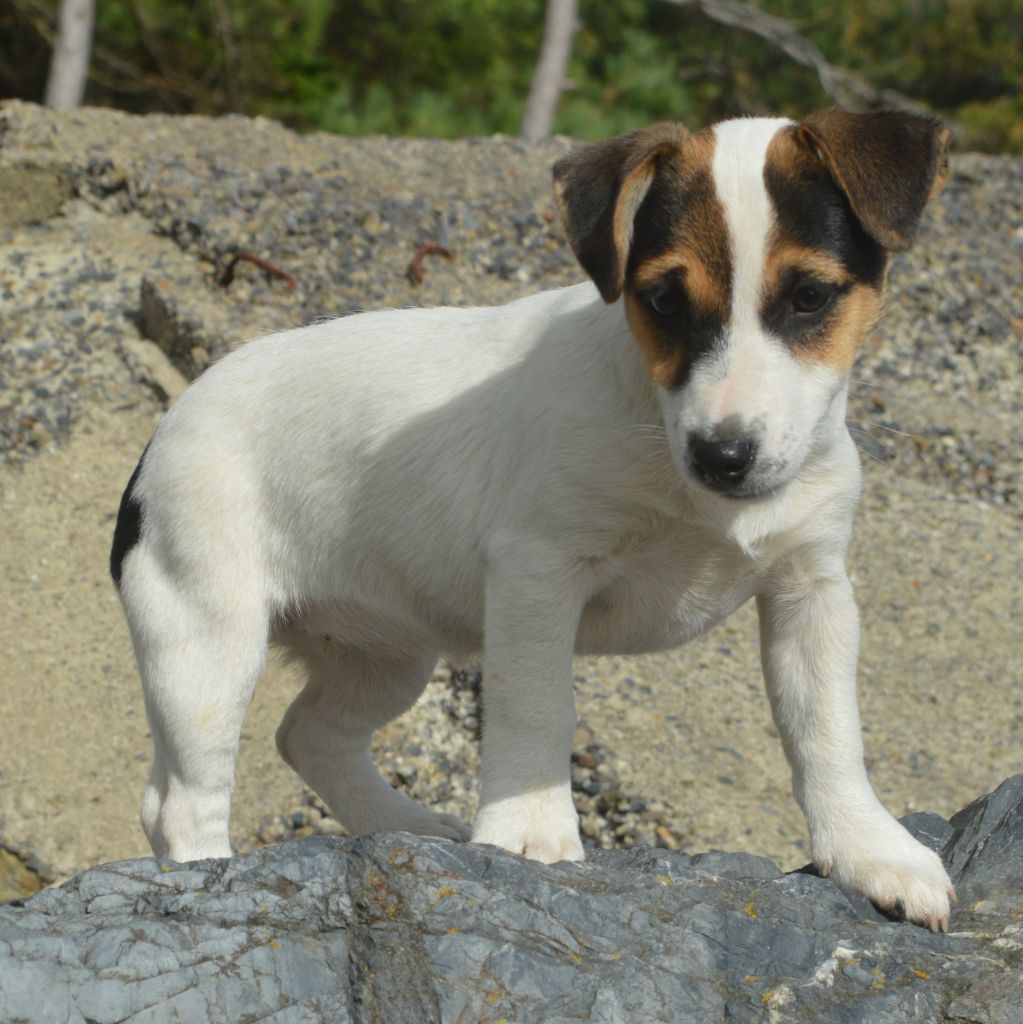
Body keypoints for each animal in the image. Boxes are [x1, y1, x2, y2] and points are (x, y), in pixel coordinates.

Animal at [114, 108, 958, 933]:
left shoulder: (810, 588)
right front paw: (529, 836)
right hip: (206, 644)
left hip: (382, 653)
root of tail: (161, 433)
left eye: (810, 296)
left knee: (311, 736)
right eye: (662, 301)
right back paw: (209, 883)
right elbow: (536, 706)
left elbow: (827, 729)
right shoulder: (537, 572)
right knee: (177, 801)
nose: (722, 456)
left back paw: (408, 827)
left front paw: (868, 849)